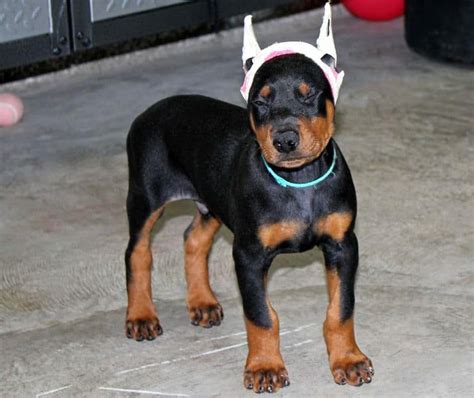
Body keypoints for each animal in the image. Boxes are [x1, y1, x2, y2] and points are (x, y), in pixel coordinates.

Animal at [124, 3, 372, 394]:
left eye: (309, 94)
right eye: (260, 101)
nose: (284, 140)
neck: (297, 182)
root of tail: (149, 111)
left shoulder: (343, 245)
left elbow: (341, 308)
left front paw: (348, 359)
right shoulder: (249, 254)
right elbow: (261, 316)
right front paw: (265, 367)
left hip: (212, 202)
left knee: (193, 239)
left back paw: (202, 302)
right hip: (145, 196)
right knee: (137, 252)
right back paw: (141, 314)